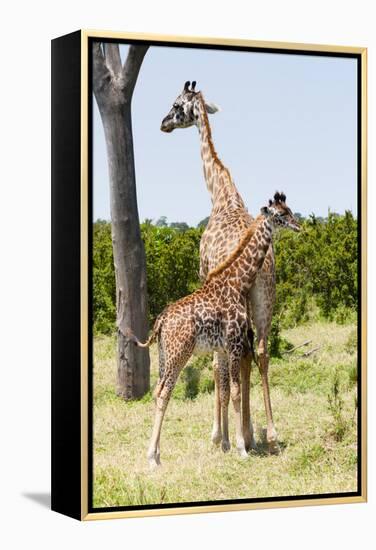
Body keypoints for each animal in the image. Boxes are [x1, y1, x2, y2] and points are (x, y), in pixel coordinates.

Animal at [126, 192, 300, 468]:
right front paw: (241, 448)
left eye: (290, 211)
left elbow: (229, 390)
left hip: (164, 356)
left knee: (157, 391)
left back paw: (157, 453)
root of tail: (161, 321)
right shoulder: (235, 343)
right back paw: (152, 458)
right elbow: (237, 392)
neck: (238, 281)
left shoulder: (227, 347)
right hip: (179, 355)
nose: (298, 226)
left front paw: (231, 443)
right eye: (281, 215)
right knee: (164, 393)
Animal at [162, 80, 280, 454]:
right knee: (260, 352)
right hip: (265, 299)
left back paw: (241, 436)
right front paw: (244, 432)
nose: (163, 124)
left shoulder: (205, 279)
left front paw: (220, 435)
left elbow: (217, 365)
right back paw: (268, 433)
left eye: (176, 105)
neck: (222, 194)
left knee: (235, 360)